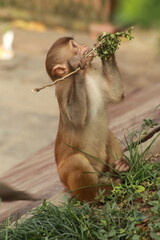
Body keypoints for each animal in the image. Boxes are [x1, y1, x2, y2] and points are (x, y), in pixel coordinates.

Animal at [45, 36, 130, 202]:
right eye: (74, 46)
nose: (84, 45)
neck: (87, 76)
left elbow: (115, 95)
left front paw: (106, 47)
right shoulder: (63, 89)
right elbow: (76, 119)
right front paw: (75, 65)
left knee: (108, 134)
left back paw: (121, 168)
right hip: (68, 179)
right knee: (76, 161)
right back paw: (97, 195)